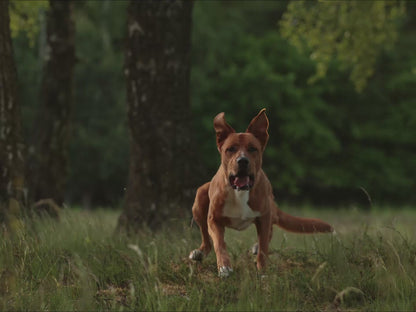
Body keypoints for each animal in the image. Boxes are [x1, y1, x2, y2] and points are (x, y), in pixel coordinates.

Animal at [190, 108, 334, 276]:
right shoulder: (214, 219)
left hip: (268, 209)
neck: (240, 193)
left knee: (269, 232)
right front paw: (224, 267)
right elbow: (219, 243)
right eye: (230, 149)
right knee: (206, 237)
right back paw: (200, 252)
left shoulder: (264, 217)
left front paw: (263, 269)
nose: (242, 161)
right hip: (200, 197)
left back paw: (256, 246)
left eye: (253, 148)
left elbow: (264, 246)